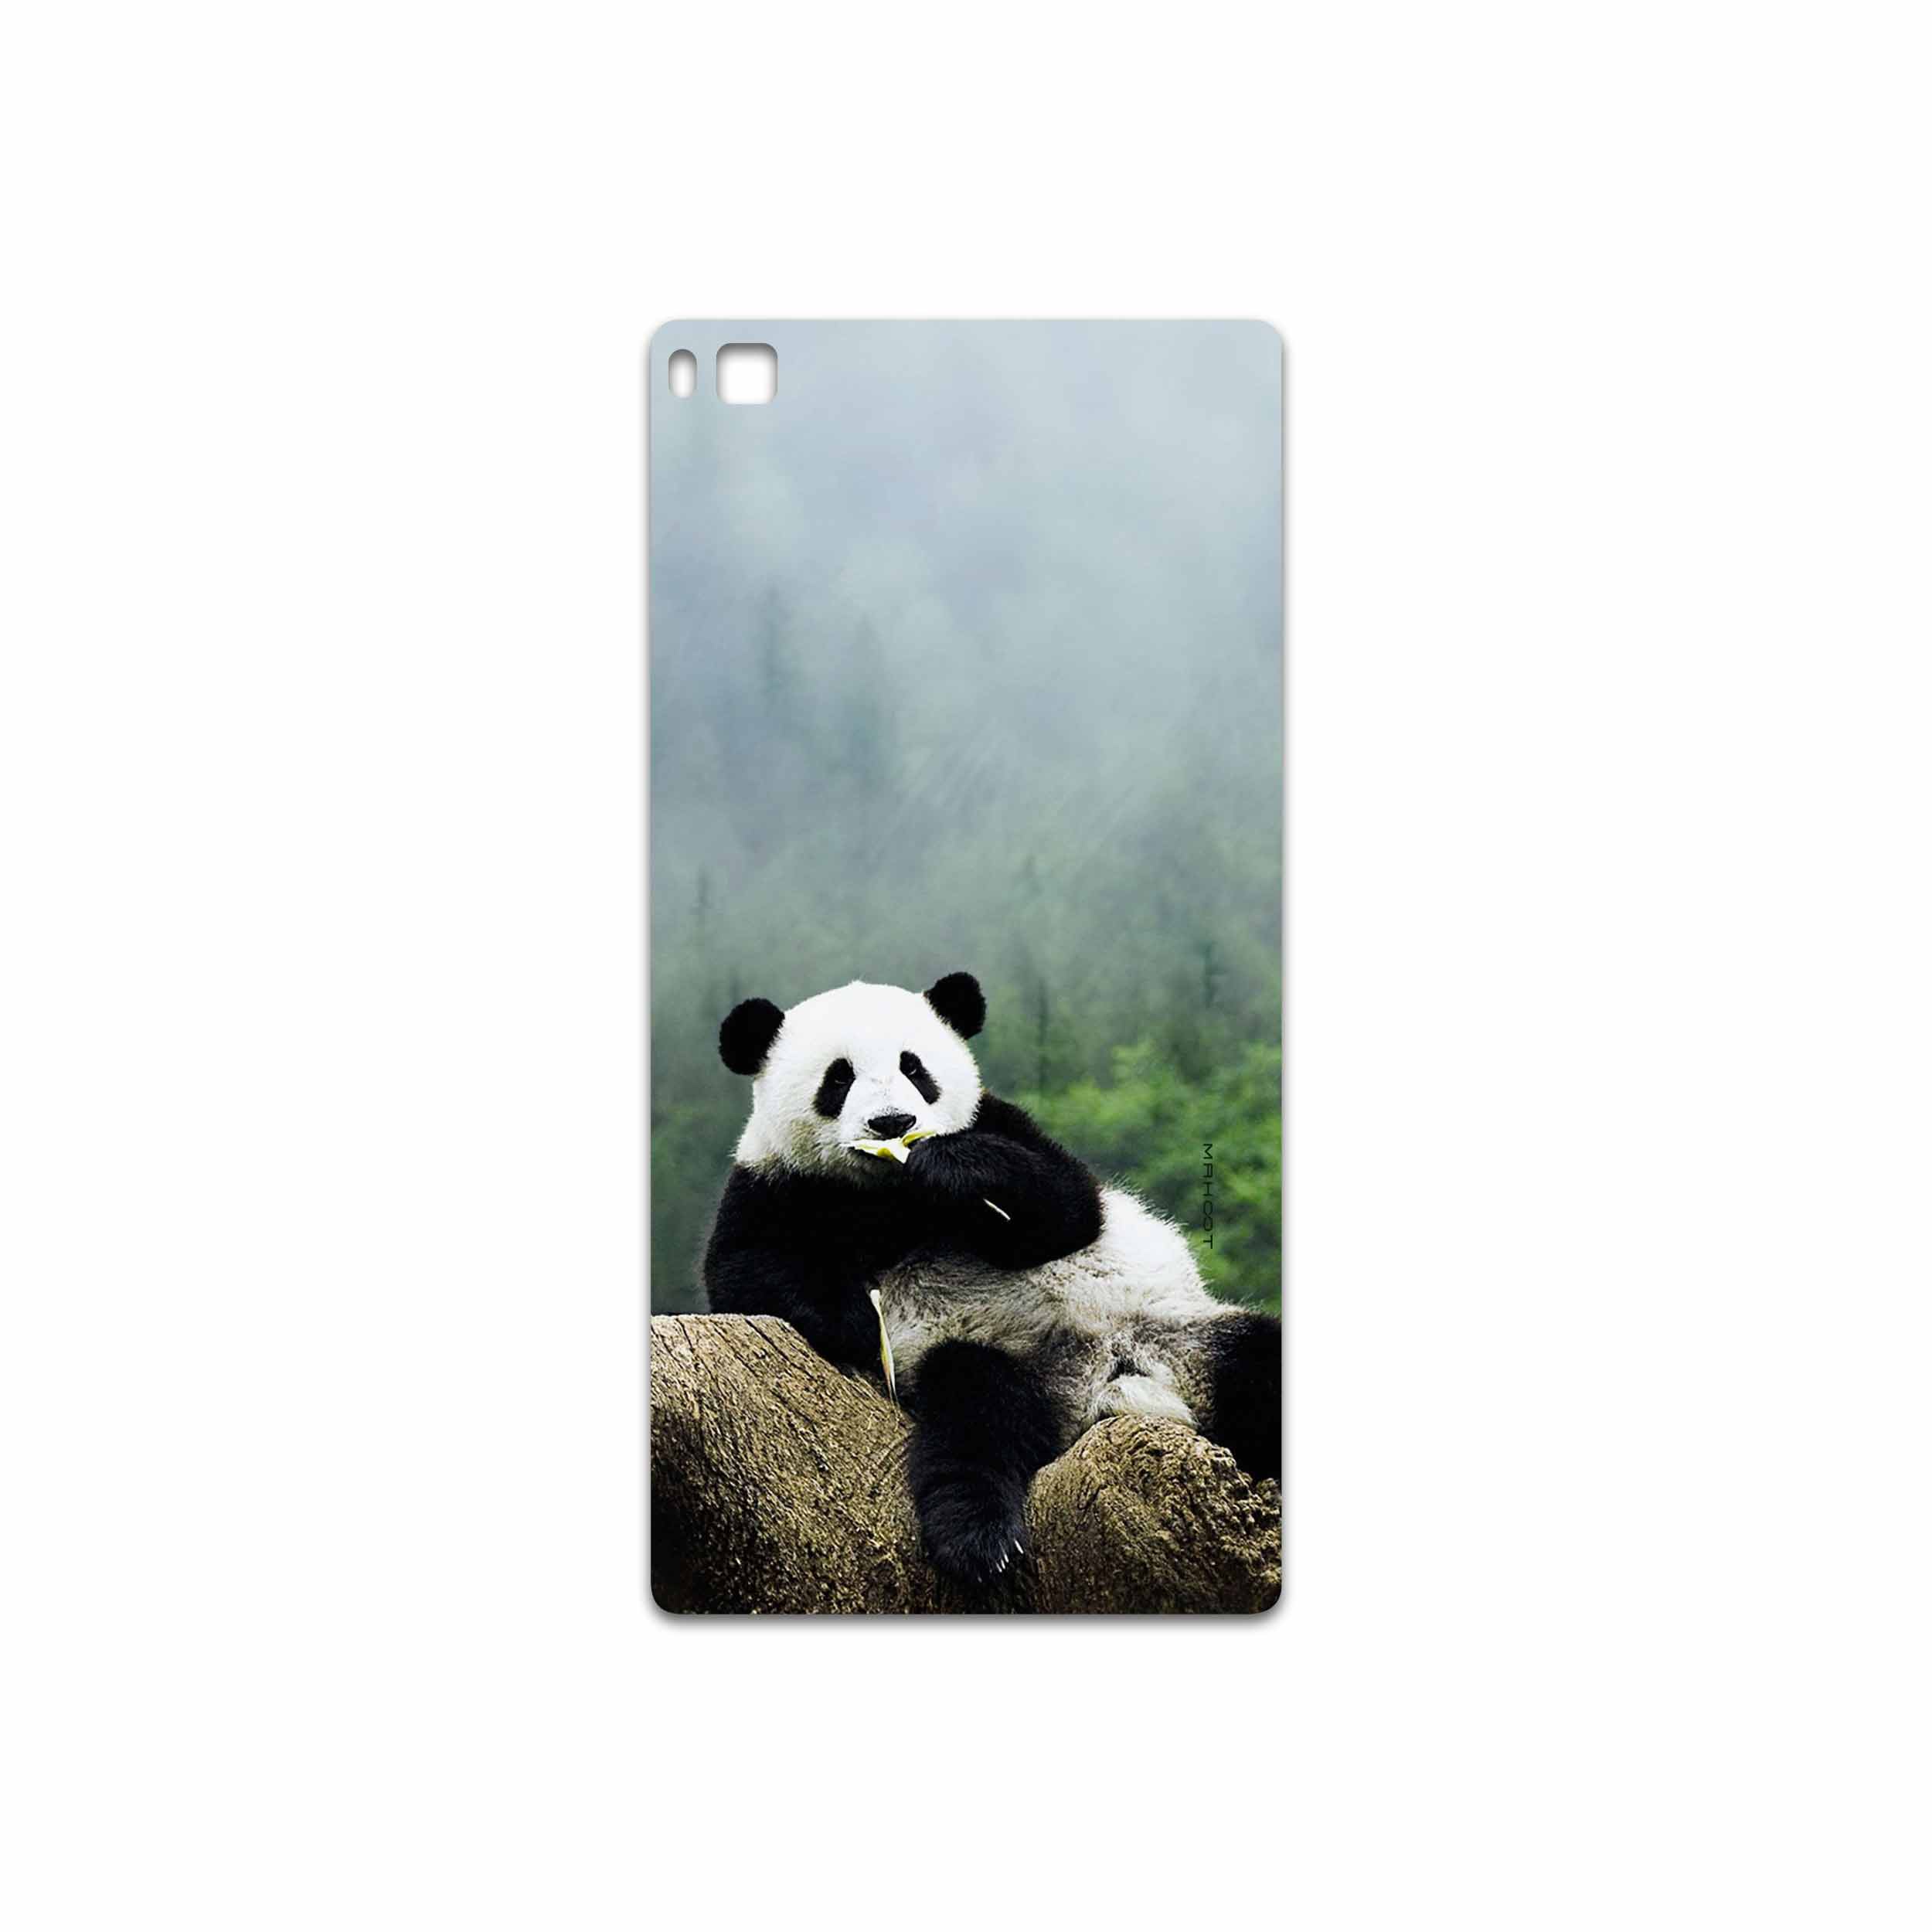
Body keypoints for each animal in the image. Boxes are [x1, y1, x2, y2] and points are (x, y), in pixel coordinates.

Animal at [703, 971, 1281, 1587]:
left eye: (914, 1068)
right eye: (839, 1078)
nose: (893, 1123)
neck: (888, 1194)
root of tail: (1106, 1384)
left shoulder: (1000, 1123)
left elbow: (1069, 1207)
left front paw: (952, 1168)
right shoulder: (774, 1184)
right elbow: (743, 1270)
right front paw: (857, 1320)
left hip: (1182, 1333)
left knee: (1258, 1362)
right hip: (991, 1358)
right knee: (975, 1423)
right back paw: (980, 1541)